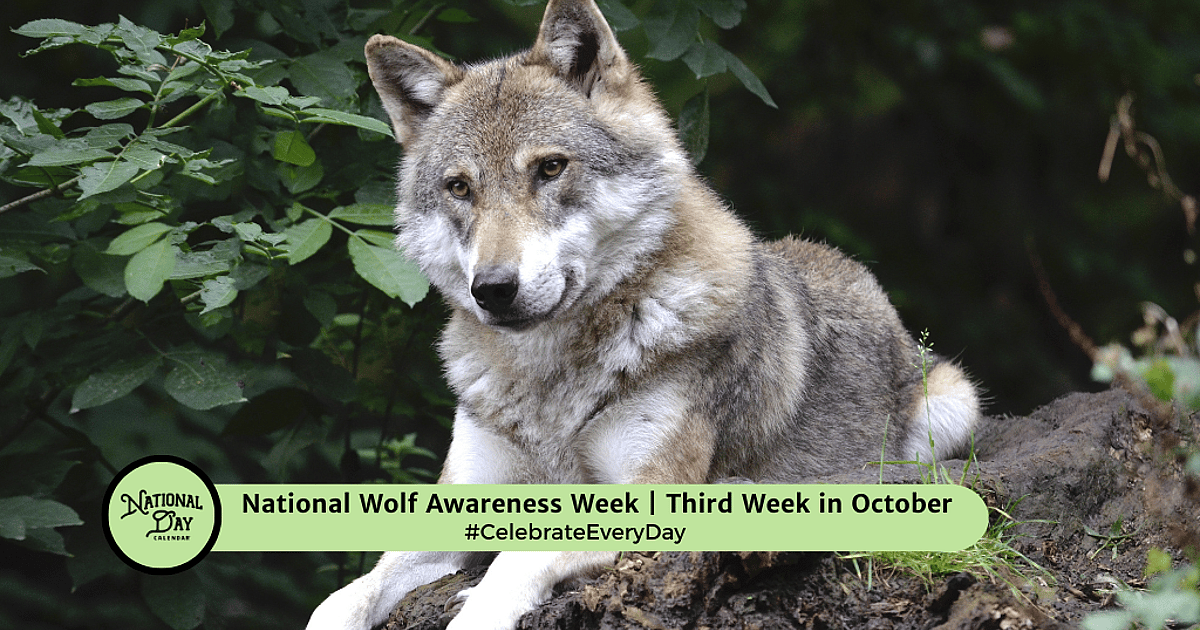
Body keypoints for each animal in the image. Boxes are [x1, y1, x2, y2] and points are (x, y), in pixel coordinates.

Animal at [306, 0, 980, 628]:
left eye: (551, 167)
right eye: (459, 188)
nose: (493, 289)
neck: (550, 383)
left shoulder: (650, 496)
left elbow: (517, 559)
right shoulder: (458, 504)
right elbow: (347, 594)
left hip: (951, 409)